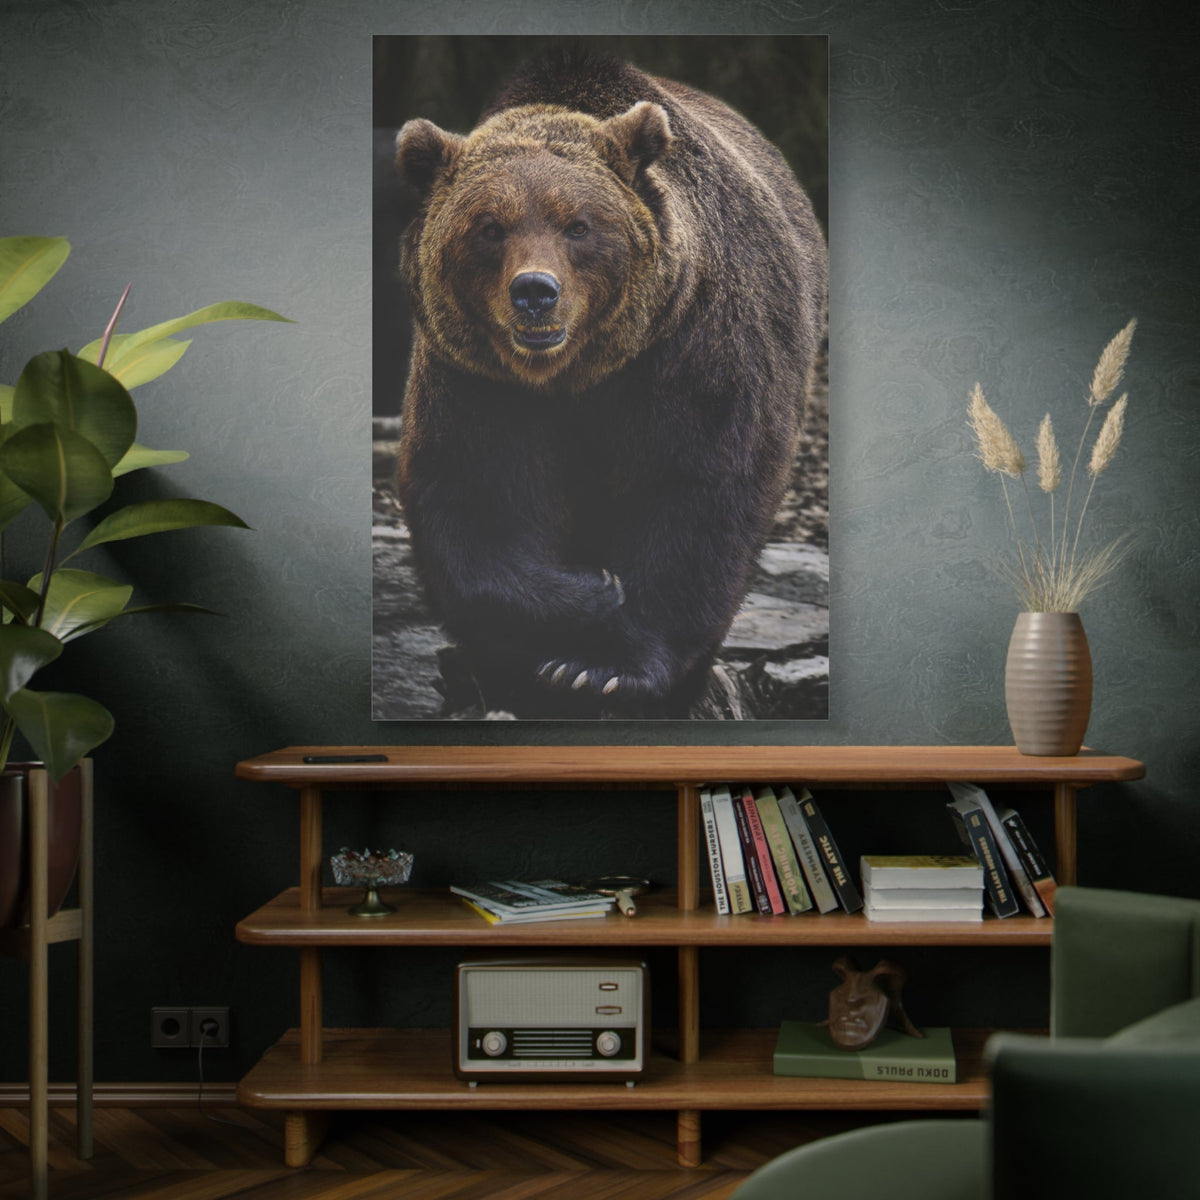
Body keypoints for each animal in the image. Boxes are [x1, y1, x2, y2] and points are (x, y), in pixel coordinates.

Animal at [392, 50, 827, 719]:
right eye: (489, 227)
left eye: (578, 225)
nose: (535, 292)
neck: (576, 373)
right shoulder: (475, 376)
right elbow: (478, 491)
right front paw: (585, 598)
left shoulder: (693, 350)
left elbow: (695, 489)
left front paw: (603, 669)